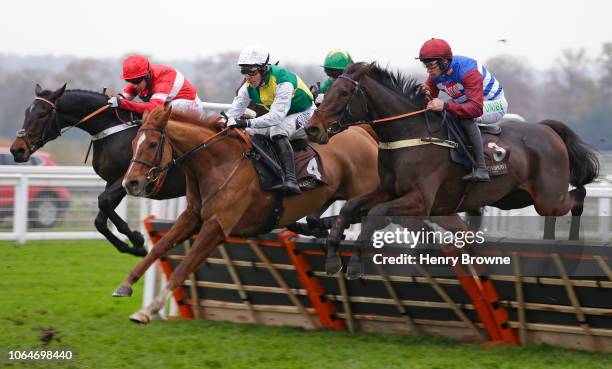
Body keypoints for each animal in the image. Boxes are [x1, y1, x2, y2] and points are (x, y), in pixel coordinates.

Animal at [9, 84, 186, 254]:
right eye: (27, 112)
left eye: (42, 114)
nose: (17, 150)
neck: (112, 130)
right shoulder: (113, 181)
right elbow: (100, 218)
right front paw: (135, 248)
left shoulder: (130, 177)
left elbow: (104, 200)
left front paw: (137, 238)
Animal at [112, 106, 378, 322]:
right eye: (134, 143)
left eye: (152, 144)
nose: (130, 183)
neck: (216, 162)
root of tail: (362, 131)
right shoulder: (192, 217)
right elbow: (158, 248)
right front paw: (125, 285)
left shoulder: (217, 226)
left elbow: (184, 266)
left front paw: (148, 310)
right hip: (333, 192)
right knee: (330, 214)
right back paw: (312, 226)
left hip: (367, 190)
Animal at [304, 61, 600, 278]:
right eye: (325, 93)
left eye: (343, 93)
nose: (312, 129)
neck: (410, 134)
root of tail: (548, 129)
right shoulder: (387, 191)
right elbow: (348, 208)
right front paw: (332, 259)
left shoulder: (420, 201)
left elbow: (375, 214)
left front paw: (354, 264)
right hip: (515, 198)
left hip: (549, 197)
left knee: (578, 196)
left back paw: (573, 246)